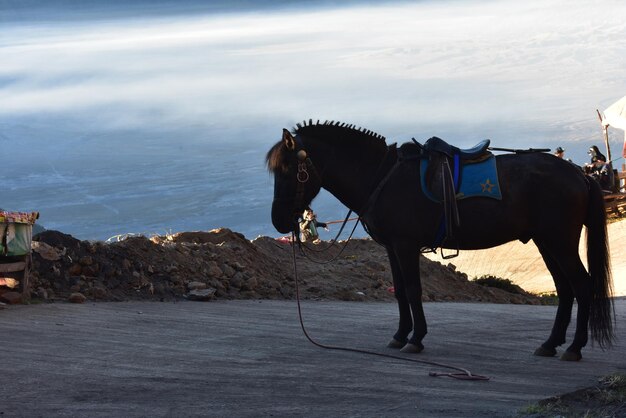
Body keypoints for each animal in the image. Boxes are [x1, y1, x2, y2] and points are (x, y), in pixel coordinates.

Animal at [266, 120, 612, 360]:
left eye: (288, 169)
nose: (279, 220)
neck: (381, 176)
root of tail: (580, 174)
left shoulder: (405, 246)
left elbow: (413, 290)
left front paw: (416, 338)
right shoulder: (392, 248)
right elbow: (400, 292)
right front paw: (400, 334)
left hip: (560, 241)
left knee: (581, 286)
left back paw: (574, 348)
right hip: (546, 242)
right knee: (565, 289)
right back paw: (551, 344)